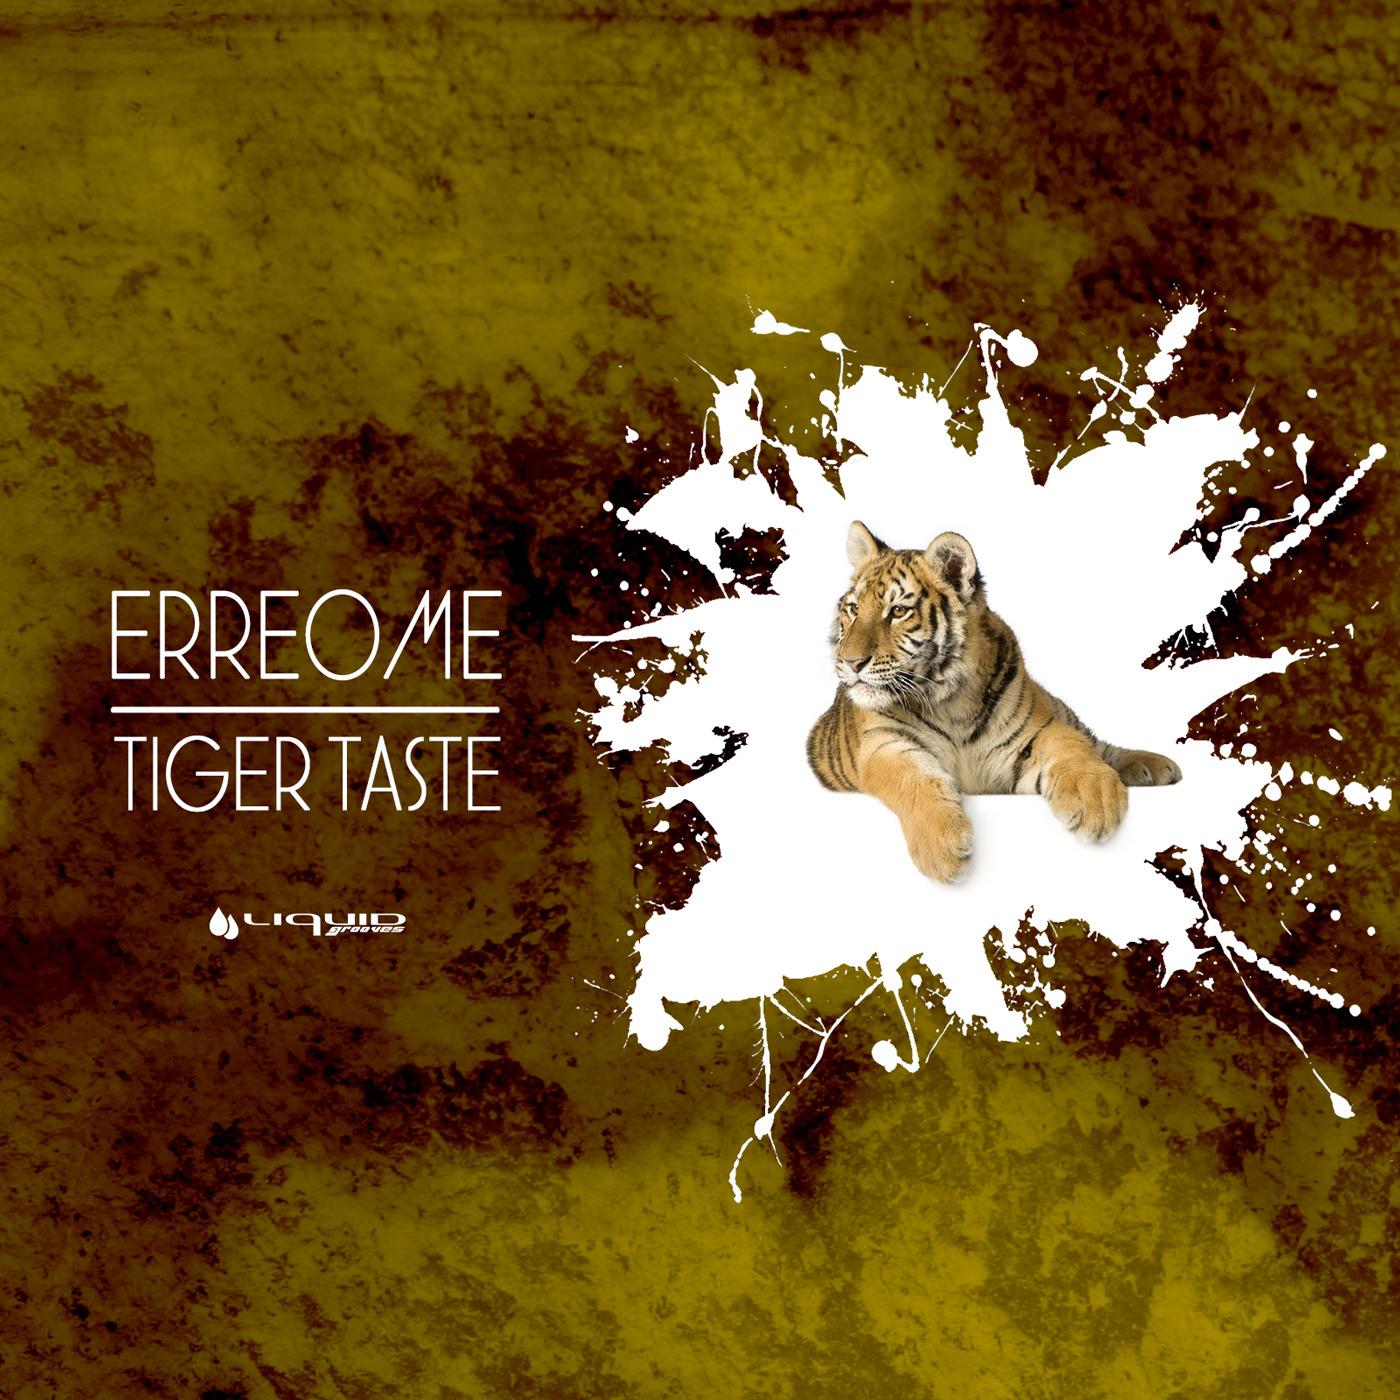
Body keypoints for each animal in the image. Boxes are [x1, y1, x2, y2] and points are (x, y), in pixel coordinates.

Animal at [807, 521, 1182, 883]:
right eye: (854, 609)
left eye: (898, 611)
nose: (850, 662)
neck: (949, 701)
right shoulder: (883, 745)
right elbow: (912, 780)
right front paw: (943, 850)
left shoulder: (1037, 730)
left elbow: (1071, 746)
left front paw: (1096, 801)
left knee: (1096, 742)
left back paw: (1157, 766)